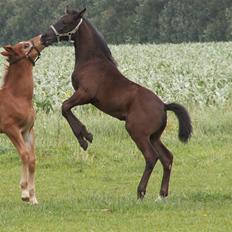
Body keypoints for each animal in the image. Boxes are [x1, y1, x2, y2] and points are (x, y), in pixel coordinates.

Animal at [0, 35, 43, 204]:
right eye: (25, 45)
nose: (42, 38)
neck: (17, 97)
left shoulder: (27, 130)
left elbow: (32, 158)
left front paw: (33, 197)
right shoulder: (11, 129)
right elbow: (24, 154)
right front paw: (24, 193)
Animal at [41, 7, 192, 199]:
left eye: (65, 22)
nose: (44, 37)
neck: (92, 61)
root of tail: (164, 106)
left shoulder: (85, 94)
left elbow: (65, 107)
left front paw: (85, 138)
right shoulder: (82, 96)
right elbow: (66, 107)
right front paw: (86, 136)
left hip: (137, 133)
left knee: (151, 157)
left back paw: (141, 192)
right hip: (154, 136)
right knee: (167, 157)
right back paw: (162, 194)